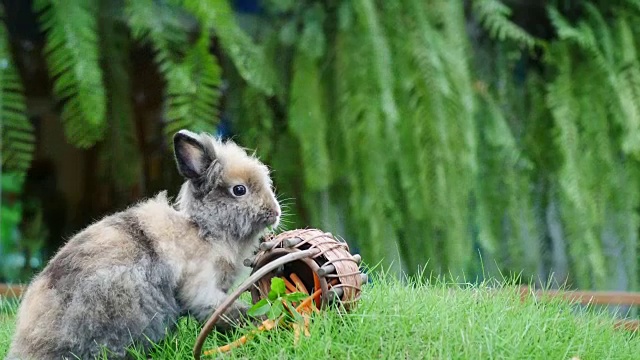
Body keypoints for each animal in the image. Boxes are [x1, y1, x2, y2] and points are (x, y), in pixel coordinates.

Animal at [5, 130, 280, 360]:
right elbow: (223, 310)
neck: (205, 230)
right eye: (239, 190)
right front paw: (258, 319)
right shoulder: (201, 288)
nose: (275, 212)